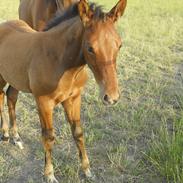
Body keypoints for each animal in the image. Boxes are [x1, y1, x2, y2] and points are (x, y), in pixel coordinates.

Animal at [0, 0, 126, 182]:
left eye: (119, 45)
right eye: (90, 48)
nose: (111, 97)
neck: (59, 60)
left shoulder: (73, 98)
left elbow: (78, 132)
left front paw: (87, 170)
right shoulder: (44, 102)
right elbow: (48, 136)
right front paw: (49, 174)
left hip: (15, 77)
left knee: (11, 96)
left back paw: (16, 137)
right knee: (1, 96)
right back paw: (5, 135)